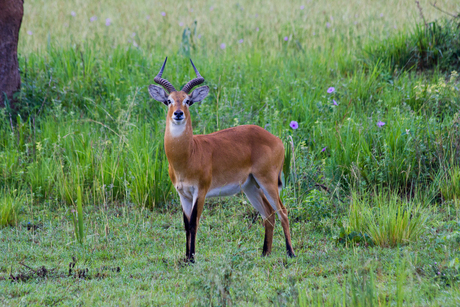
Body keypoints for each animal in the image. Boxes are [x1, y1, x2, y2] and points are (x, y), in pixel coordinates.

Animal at [149, 57, 296, 262]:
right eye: (168, 101)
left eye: (188, 101)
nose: (178, 113)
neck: (188, 155)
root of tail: (276, 139)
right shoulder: (183, 194)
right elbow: (186, 224)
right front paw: (186, 258)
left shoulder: (200, 191)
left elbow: (194, 223)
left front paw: (192, 259)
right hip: (251, 186)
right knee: (268, 214)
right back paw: (265, 253)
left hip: (268, 181)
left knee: (283, 211)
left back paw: (290, 253)